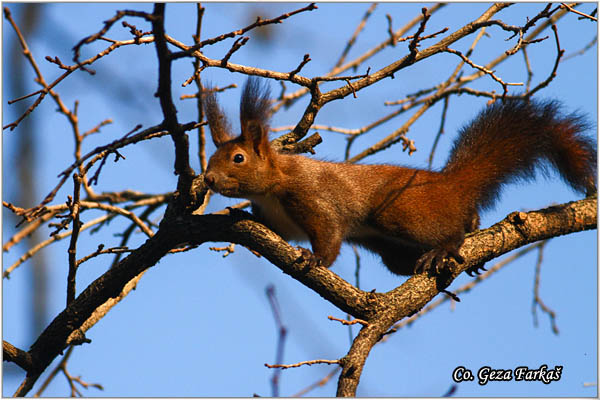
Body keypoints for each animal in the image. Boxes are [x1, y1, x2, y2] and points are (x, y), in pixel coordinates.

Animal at [204, 77, 596, 276]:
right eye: (210, 158)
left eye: (238, 158)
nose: (207, 180)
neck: (273, 185)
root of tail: (451, 184)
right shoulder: (278, 220)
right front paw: (241, 215)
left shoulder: (312, 198)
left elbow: (329, 234)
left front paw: (315, 259)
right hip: (392, 248)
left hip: (401, 212)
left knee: (449, 230)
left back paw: (445, 247)